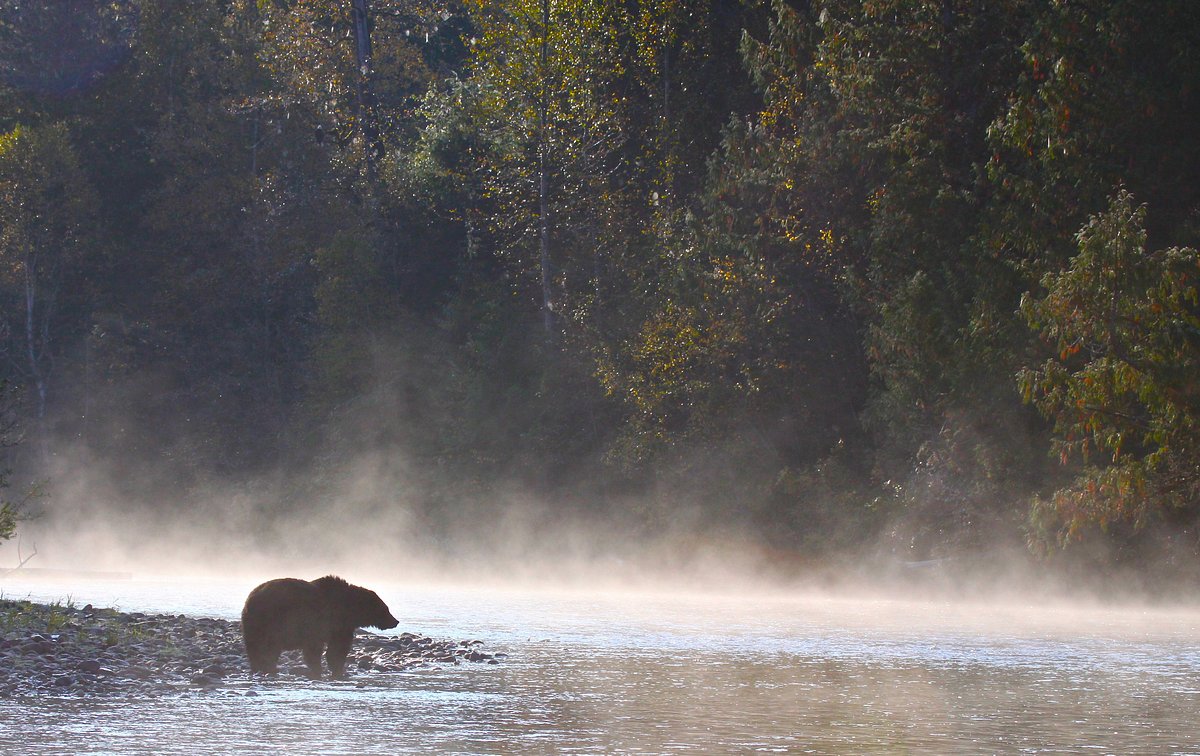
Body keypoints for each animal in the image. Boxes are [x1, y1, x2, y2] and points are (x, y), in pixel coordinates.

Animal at [241, 573, 400, 681]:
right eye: (385, 609)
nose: (395, 621)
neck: (349, 609)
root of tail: (251, 599)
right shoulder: (329, 624)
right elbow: (333, 649)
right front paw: (330, 669)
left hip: (255, 625)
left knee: (257, 648)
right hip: (271, 622)